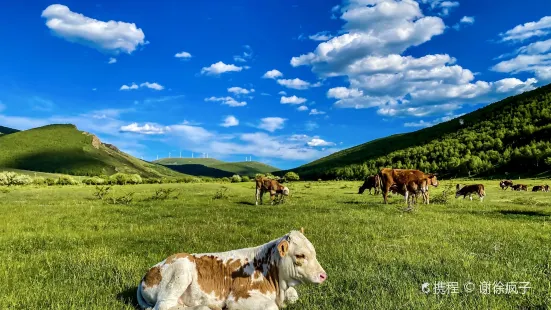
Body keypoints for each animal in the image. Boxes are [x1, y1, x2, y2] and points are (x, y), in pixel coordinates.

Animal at [137, 228, 328, 310]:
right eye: (300, 256)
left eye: (314, 252)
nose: (323, 275)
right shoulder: (237, 298)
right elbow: (271, 307)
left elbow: (294, 296)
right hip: (181, 271)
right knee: (163, 306)